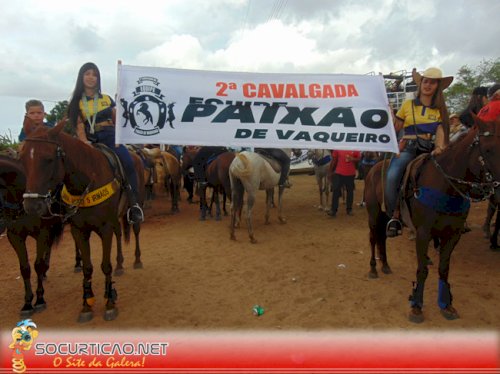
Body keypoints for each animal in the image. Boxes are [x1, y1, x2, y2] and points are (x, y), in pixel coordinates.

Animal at [19, 119, 145, 322]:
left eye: (48, 159)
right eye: (22, 158)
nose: (32, 205)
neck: (87, 179)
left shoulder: (104, 228)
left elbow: (105, 266)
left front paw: (110, 303)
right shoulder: (79, 230)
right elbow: (87, 268)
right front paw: (87, 305)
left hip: (135, 205)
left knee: (136, 230)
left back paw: (137, 259)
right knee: (119, 234)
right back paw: (120, 264)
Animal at [364, 115, 500, 322]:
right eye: (488, 149)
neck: (445, 187)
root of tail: (373, 169)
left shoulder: (453, 235)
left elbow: (444, 269)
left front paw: (447, 305)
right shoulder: (423, 233)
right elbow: (422, 270)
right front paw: (416, 307)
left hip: (385, 215)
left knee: (382, 238)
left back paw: (385, 265)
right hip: (373, 213)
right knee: (373, 238)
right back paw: (373, 269)